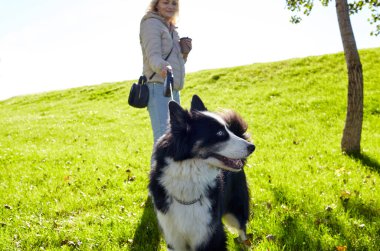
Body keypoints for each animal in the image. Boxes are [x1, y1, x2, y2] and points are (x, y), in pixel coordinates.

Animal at [148, 95, 255, 250]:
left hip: (236, 211)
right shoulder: (174, 238)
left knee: (242, 230)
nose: (252, 147)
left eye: (228, 130)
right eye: (220, 133)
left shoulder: (211, 234)